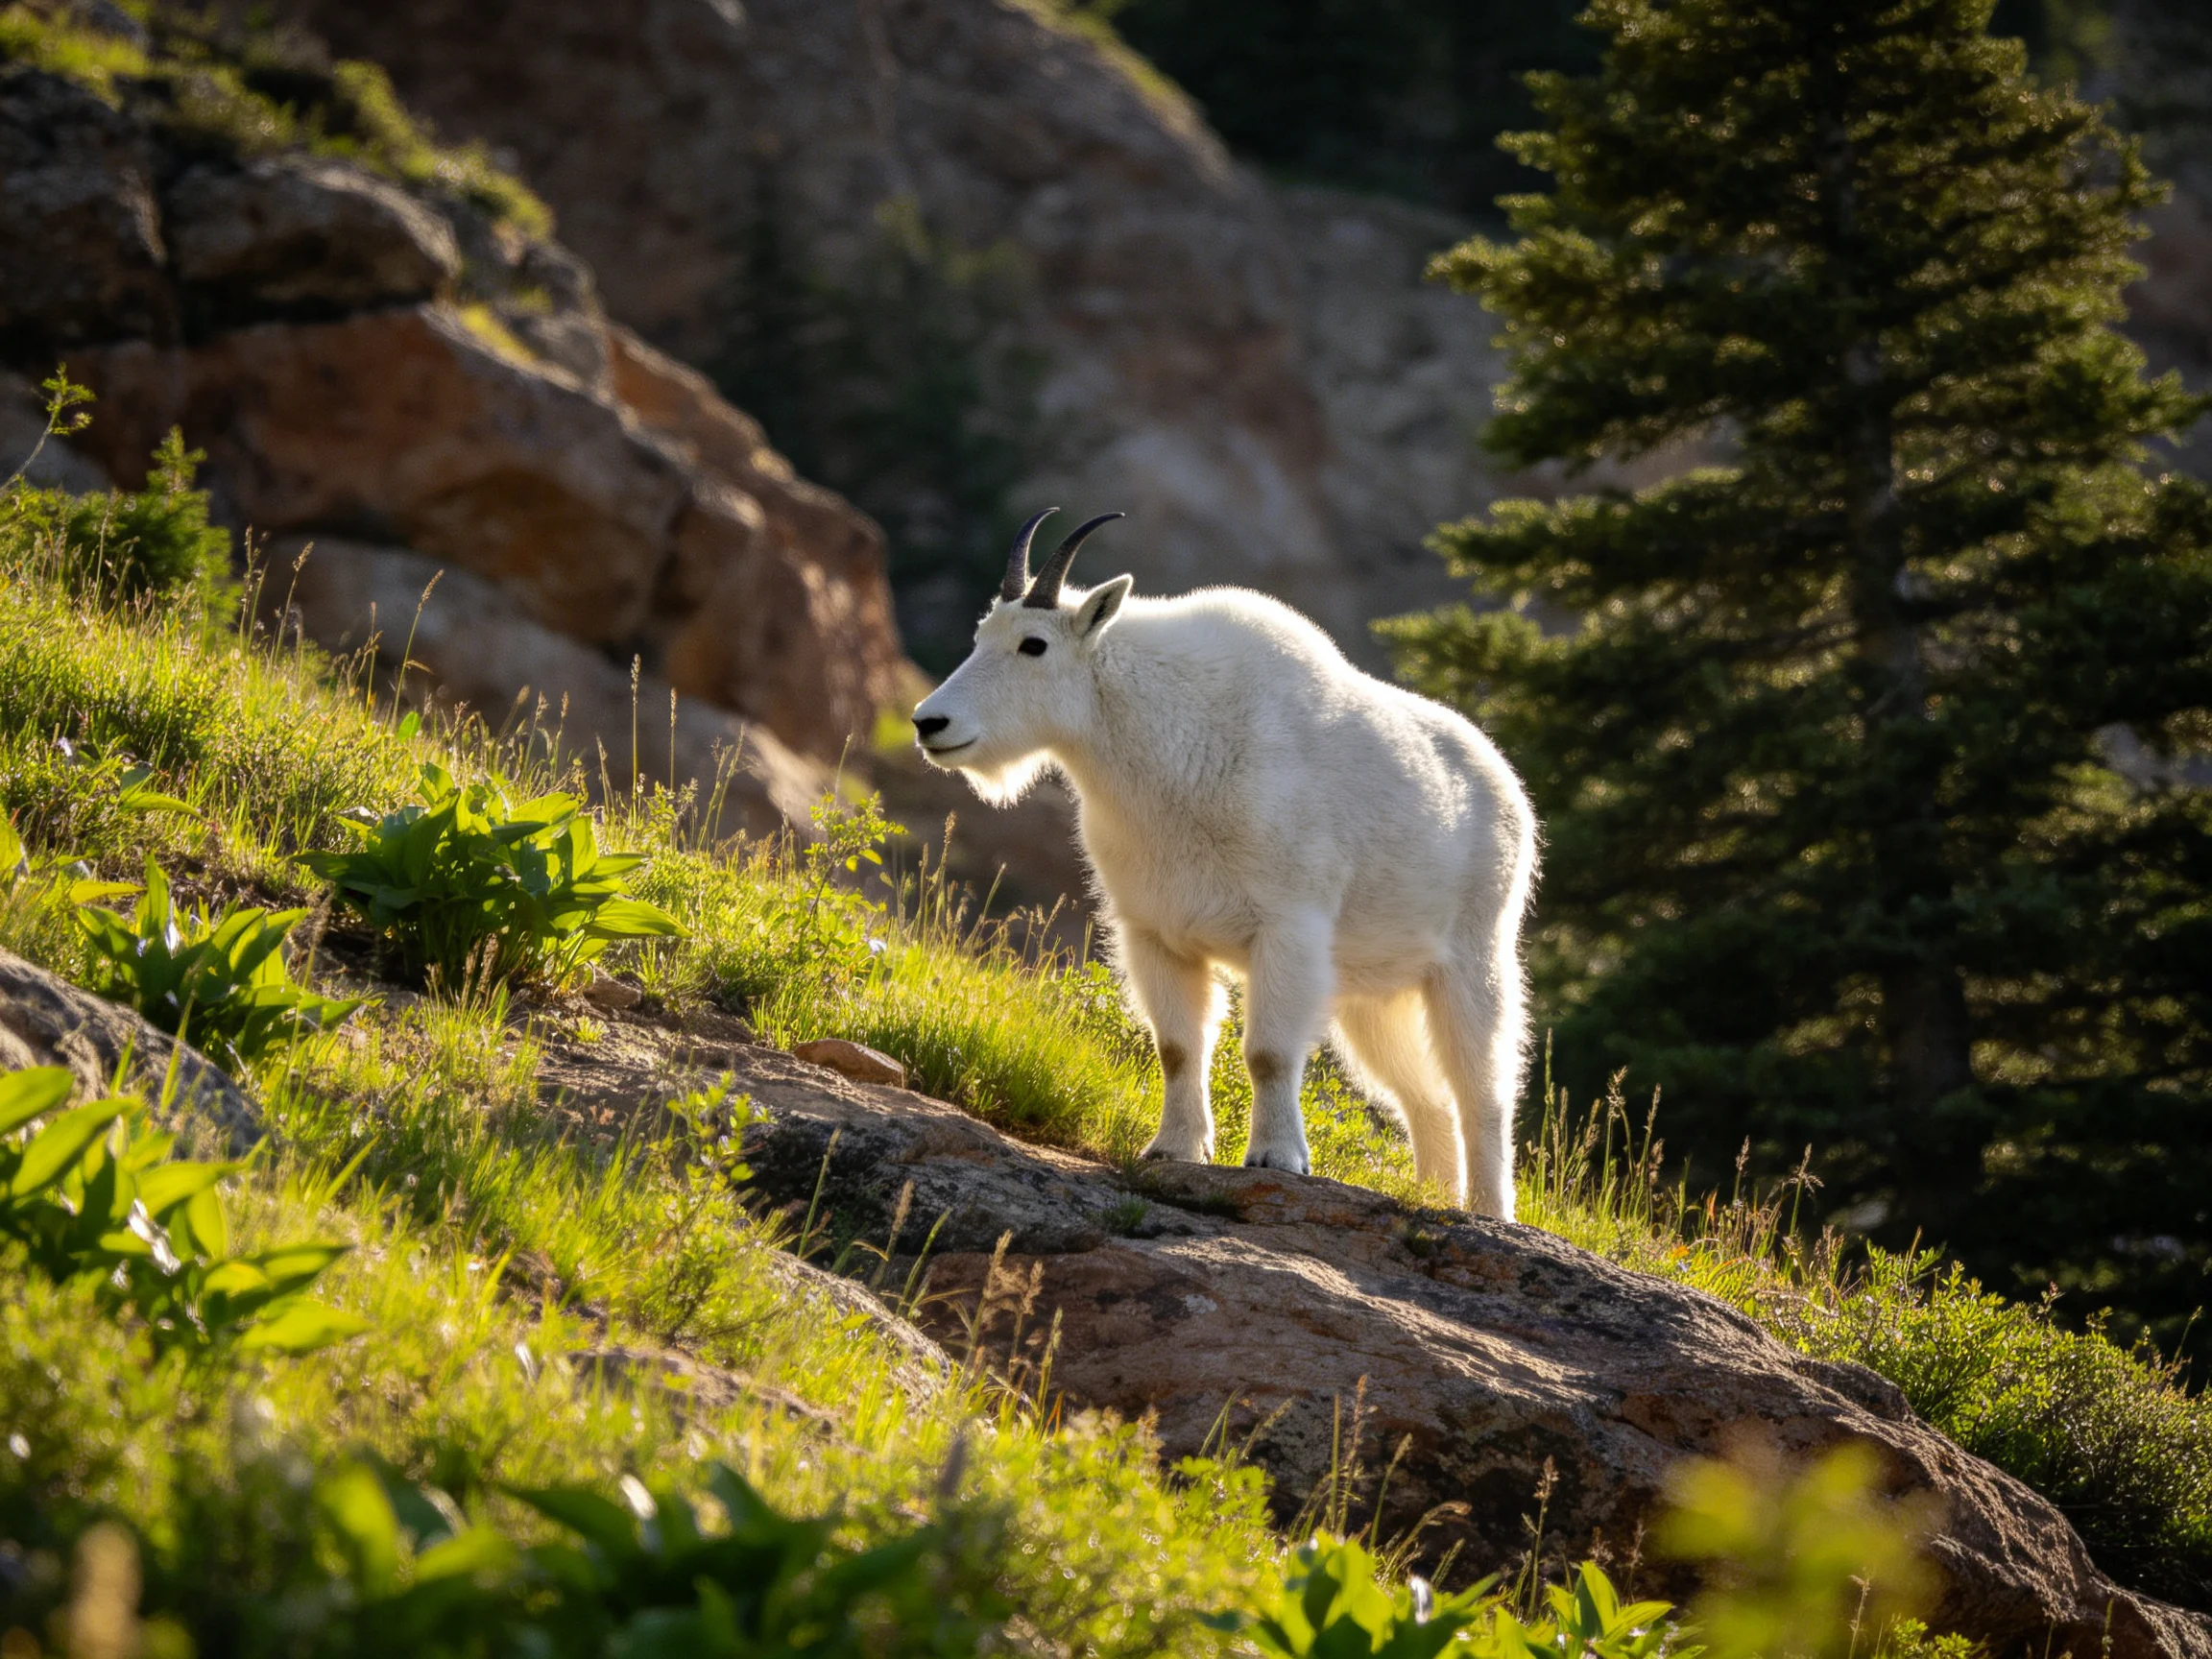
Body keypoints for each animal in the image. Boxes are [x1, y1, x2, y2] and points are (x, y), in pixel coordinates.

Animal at [910, 510, 1538, 1216]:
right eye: (980, 635)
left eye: (1034, 645)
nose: (930, 723)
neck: (1164, 742)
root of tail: (1508, 784)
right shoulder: (1155, 931)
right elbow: (1178, 1047)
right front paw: (1172, 1149)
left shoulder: (1287, 927)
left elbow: (1268, 1053)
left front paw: (1276, 1158)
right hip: (1373, 990)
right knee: (1423, 1098)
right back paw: (1432, 1197)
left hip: (1472, 958)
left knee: (1482, 1090)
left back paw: (1488, 1210)